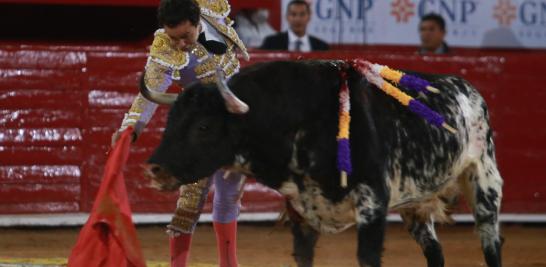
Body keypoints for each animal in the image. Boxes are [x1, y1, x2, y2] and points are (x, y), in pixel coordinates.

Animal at [139, 60, 502, 267]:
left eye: (203, 126)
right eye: (170, 120)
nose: (154, 168)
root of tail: (469, 89)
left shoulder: (372, 205)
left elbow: (368, 257)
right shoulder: (302, 214)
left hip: (485, 182)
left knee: (491, 243)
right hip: (416, 206)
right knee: (435, 252)